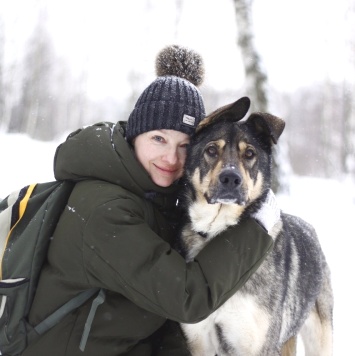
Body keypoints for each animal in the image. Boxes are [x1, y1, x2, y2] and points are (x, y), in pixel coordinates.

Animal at [179, 97, 336, 356]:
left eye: (250, 153)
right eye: (211, 150)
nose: (231, 179)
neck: (220, 233)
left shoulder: (259, 344)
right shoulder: (198, 341)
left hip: (319, 335)